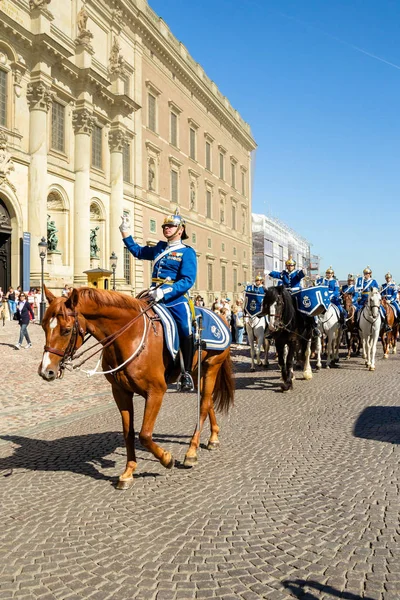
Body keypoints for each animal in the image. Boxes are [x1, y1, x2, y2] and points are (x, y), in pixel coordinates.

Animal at [38, 288, 234, 490]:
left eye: (66, 330)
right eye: (44, 326)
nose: (46, 371)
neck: (130, 336)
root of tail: (221, 316)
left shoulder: (156, 392)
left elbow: (145, 435)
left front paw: (167, 458)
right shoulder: (120, 392)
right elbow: (129, 433)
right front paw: (128, 472)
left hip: (211, 367)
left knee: (203, 405)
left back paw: (191, 451)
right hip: (196, 371)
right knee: (208, 400)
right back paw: (213, 437)